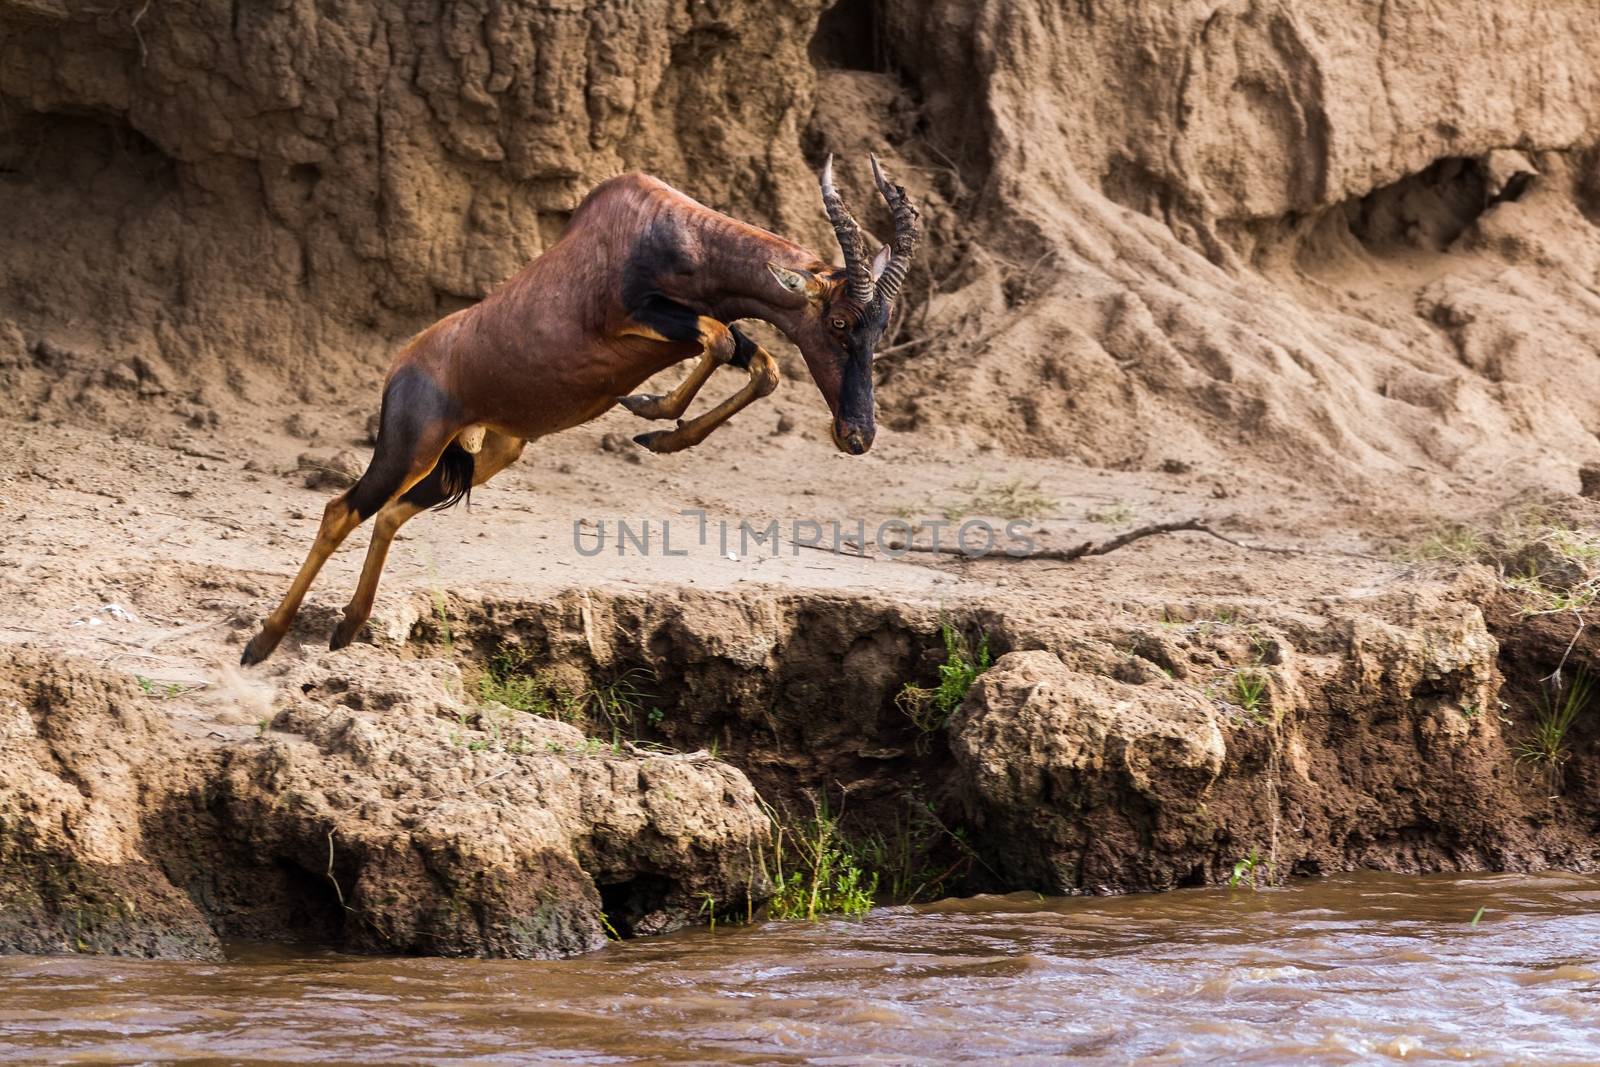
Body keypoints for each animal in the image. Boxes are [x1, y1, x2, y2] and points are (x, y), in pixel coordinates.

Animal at [233, 154, 915, 662]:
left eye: (880, 325)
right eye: (840, 321)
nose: (857, 434)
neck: (663, 228)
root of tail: (403, 365)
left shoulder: (693, 326)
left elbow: (757, 362)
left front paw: (659, 428)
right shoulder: (631, 315)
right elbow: (721, 341)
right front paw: (649, 412)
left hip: (488, 454)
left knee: (392, 513)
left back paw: (348, 627)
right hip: (408, 446)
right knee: (341, 511)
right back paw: (263, 641)